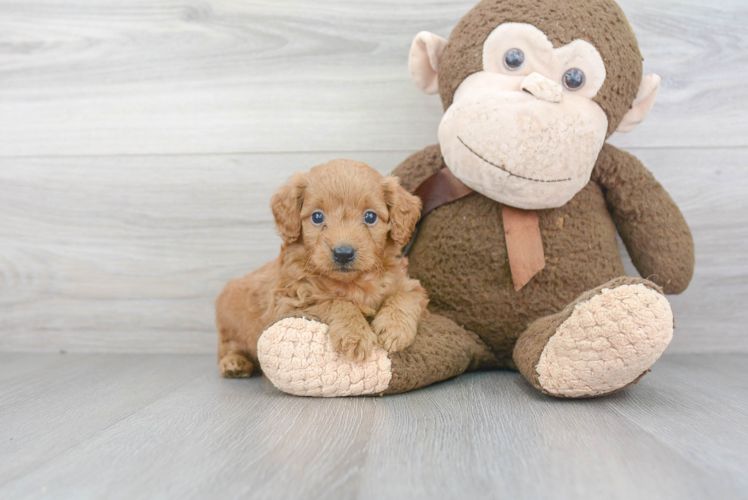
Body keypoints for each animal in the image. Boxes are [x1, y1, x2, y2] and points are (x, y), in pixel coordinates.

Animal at [215, 160, 426, 378]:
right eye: (317, 217)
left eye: (370, 217)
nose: (343, 253)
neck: (352, 282)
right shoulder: (292, 300)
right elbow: (335, 302)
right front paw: (355, 334)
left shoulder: (408, 284)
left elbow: (405, 296)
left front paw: (395, 329)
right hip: (230, 324)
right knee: (227, 346)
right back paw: (234, 363)